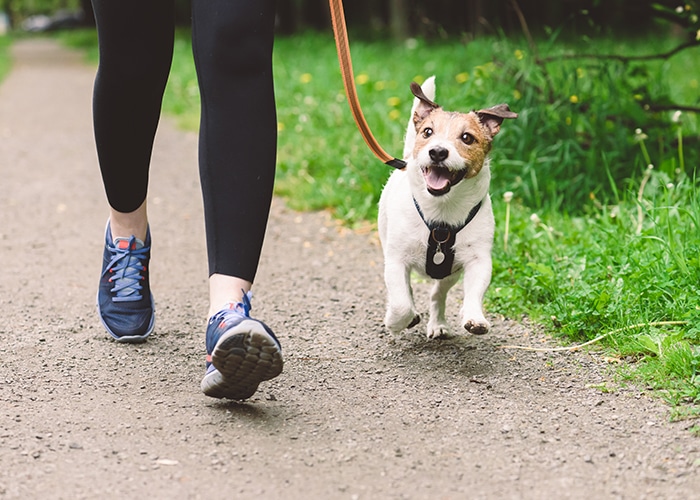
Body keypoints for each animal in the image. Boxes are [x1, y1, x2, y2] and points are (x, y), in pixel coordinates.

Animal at [378, 75, 520, 340]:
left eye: (467, 138)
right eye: (428, 132)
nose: (437, 151)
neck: (441, 213)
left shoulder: (478, 260)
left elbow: (474, 291)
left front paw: (474, 318)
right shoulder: (396, 260)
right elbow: (401, 302)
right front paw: (395, 322)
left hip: (449, 274)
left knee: (437, 294)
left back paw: (438, 324)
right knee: (407, 291)